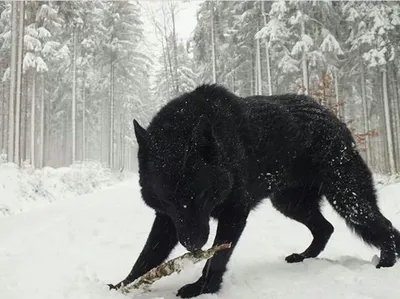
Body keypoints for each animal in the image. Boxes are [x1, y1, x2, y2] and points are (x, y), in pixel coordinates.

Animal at [109, 84, 400, 298]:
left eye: (200, 196)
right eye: (168, 200)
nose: (192, 245)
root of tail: (332, 116)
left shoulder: (234, 214)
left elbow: (216, 258)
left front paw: (203, 288)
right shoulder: (168, 220)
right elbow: (147, 255)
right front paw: (123, 285)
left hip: (348, 200)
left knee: (384, 226)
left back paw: (386, 262)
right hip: (290, 204)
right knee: (325, 228)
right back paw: (303, 257)